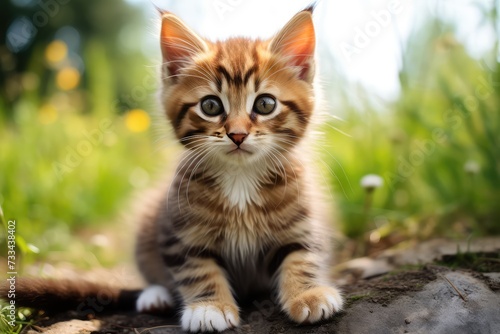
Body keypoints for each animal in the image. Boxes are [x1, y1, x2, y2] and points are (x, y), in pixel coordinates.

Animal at [134, 6, 344, 332]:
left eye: (265, 104)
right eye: (210, 106)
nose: (237, 134)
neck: (240, 178)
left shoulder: (302, 220)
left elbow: (302, 256)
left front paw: (308, 295)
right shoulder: (181, 230)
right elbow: (196, 268)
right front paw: (208, 307)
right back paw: (154, 296)